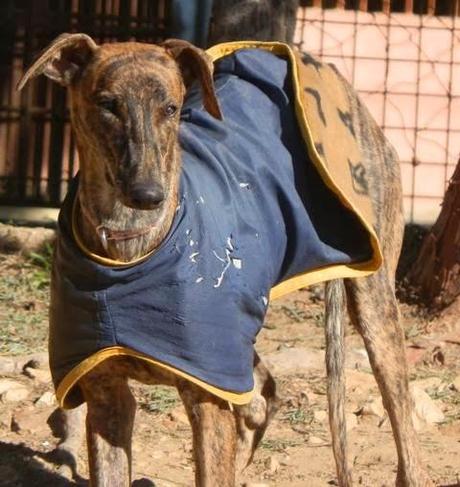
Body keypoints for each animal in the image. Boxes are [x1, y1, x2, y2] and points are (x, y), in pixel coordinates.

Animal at [18, 32, 434, 486]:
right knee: (264, 392)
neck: (130, 251)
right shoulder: (106, 394)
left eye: (172, 108)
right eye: (107, 104)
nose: (148, 195)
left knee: (403, 425)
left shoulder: (208, 395)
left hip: (374, 300)